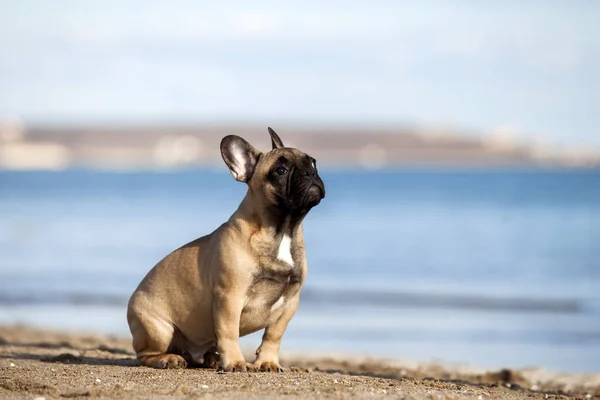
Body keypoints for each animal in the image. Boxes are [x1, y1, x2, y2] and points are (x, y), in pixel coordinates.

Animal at [125, 128, 324, 372]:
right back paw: (169, 358)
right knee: (145, 354)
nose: (310, 173)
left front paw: (267, 362)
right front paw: (236, 363)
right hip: (159, 330)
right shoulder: (230, 296)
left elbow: (273, 335)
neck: (283, 231)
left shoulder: (290, 302)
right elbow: (229, 333)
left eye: (313, 163)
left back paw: (212, 359)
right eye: (281, 170)